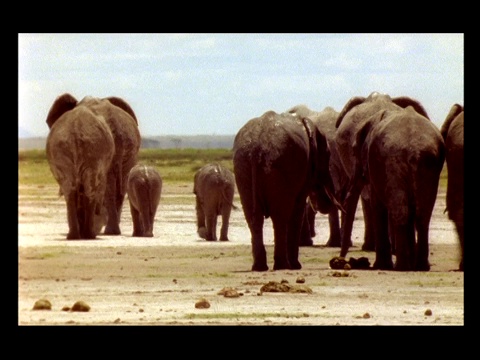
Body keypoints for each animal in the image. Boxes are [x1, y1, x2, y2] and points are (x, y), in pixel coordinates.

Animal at [45, 92, 141, 236]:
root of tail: (116, 127)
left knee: (106, 188)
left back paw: (105, 232)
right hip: (128, 152)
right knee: (120, 187)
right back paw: (110, 231)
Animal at [232, 109, 338, 270]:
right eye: (328, 154)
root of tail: (256, 147)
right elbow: (297, 210)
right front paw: (296, 266)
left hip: (242, 167)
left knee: (253, 217)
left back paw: (259, 267)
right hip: (280, 166)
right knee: (280, 217)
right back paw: (284, 265)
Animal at [350, 106, 444, 270]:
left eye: (354, 150)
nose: (345, 260)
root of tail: (414, 150)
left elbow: (377, 206)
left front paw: (381, 265)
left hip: (394, 160)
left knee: (401, 212)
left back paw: (402, 266)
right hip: (428, 164)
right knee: (422, 214)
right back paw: (420, 266)